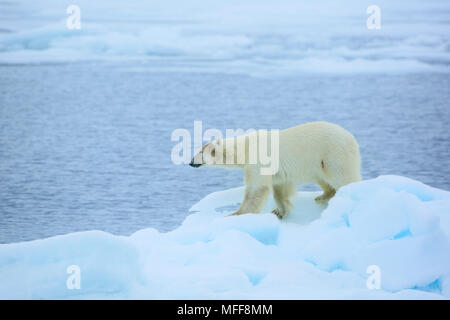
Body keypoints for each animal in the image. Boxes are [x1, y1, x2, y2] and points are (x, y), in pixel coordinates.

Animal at [188, 121, 360, 219]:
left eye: (200, 152)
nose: (190, 162)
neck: (245, 148)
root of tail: (351, 137)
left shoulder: (257, 160)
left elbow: (256, 188)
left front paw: (236, 214)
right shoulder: (276, 170)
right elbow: (280, 188)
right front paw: (279, 211)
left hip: (332, 153)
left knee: (342, 176)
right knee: (322, 177)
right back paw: (323, 196)